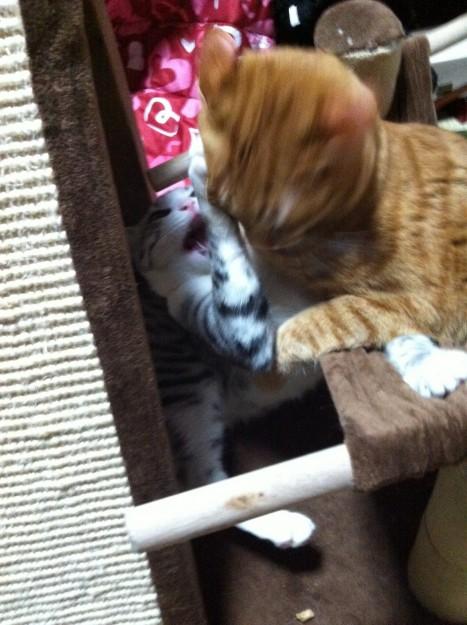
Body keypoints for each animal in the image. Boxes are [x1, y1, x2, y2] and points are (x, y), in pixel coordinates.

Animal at [196, 29, 467, 376]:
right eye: (230, 210)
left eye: (278, 225)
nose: (257, 244)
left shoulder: (421, 303)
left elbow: (339, 315)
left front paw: (283, 344)